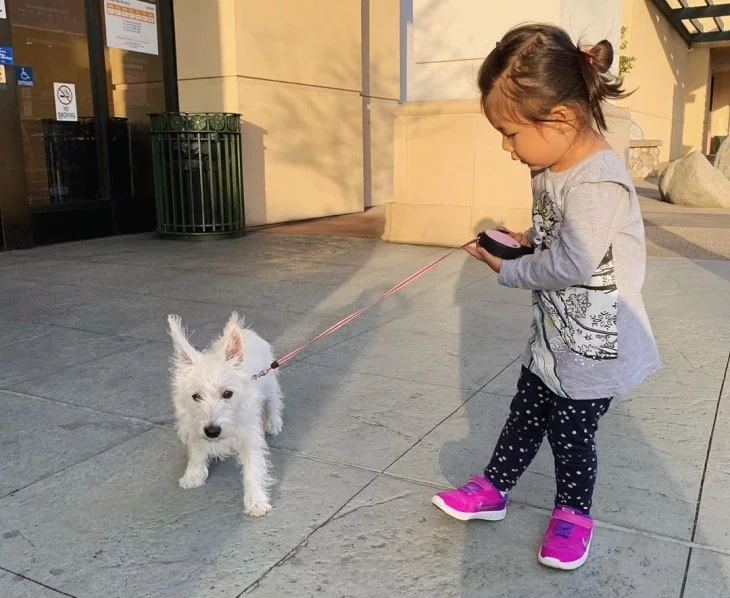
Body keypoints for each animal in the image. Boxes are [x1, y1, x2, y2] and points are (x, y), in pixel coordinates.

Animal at [166, 312, 282, 516]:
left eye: (227, 393)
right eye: (196, 396)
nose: (212, 431)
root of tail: (245, 329)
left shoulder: (249, 435)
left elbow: (254, 467)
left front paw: (256, 501)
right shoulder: (193, 425)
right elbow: (196, 450)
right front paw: (193, 475)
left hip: (268, 382)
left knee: (274, 401)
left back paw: (274, 422)